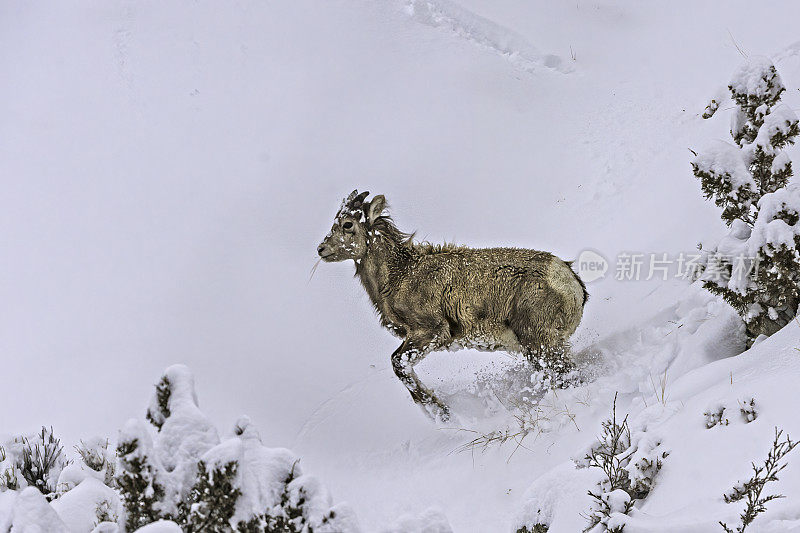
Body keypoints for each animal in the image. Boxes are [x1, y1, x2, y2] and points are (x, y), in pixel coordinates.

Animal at [318, 191, 588, 420]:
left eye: (348, 224)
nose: (321, 249)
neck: (398, 277)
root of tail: (571, 284)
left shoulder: (431, 332)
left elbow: (398, 362)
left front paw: (441, 413)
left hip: (539, 341)